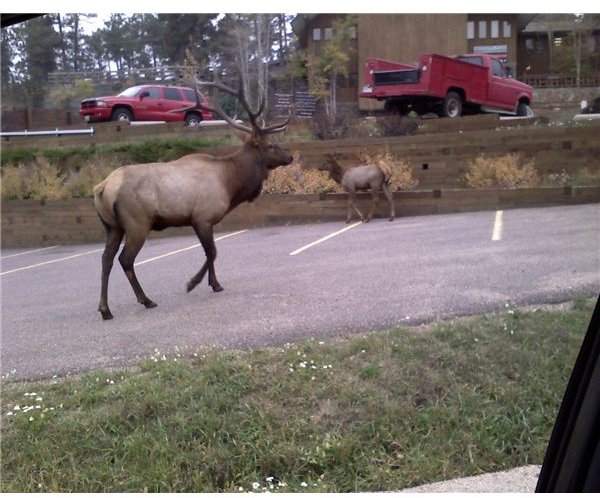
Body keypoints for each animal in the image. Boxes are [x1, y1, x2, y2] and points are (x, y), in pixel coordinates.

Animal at [94, 78, 292, 320]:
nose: (290, 156)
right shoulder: (202, 217)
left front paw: (215, 284)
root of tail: (103, 187)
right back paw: (146, 300)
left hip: (112, 226)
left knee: (106, 259)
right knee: (125, 259)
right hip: (136, 223)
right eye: (271, 145)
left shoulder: (202, 220)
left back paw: (105, 309)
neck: (230, 183)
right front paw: (193, 283)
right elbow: (212, 252)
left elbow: (210, 252)